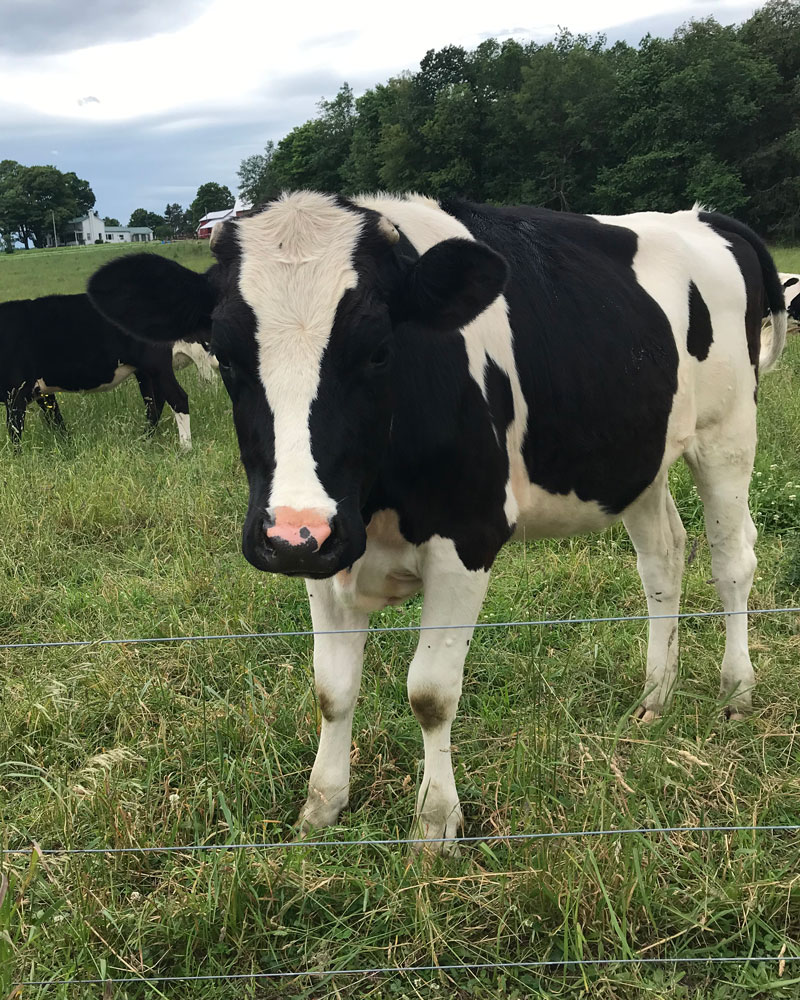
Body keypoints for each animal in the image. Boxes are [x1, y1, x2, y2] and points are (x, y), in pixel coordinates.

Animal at [0, 290, 198, 446]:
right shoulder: (42, 393)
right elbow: (56, 420)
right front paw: (68, 446)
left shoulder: (15, 393)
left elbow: (15, 431)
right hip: (145, 373)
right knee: (154, 403)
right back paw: (144, 440)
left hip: (156, 365)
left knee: (178, 398)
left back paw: (184, 448)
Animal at [90, 191, 792, 848]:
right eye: (228, 356)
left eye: (378, 351)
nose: (291, 535)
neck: (376, 500)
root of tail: (701, 217)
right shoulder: (323, 549)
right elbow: (331, 689)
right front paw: (321, 810)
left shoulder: (467, 537)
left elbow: (430, 692)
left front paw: (434, 826)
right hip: (637, 456)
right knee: (663, 560)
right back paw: (654, 700)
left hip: (728, 434)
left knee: (732, 561)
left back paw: (736, 693)